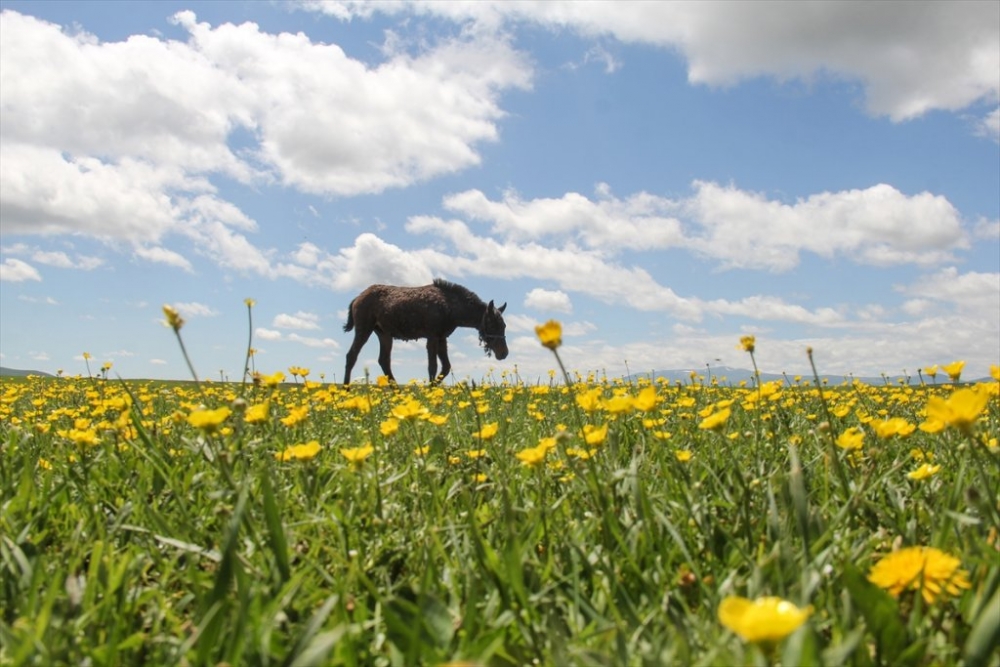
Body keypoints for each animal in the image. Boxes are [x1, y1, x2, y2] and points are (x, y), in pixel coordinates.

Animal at [344, 280, 508, 386]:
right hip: (364, 328)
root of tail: (356, 299)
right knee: (351, 356)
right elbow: (433, 366)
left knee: (384, 360)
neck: (452, 310)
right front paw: (429, 392)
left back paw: (397, 391)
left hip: (384, 333)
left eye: (504, 326)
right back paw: (346, 389)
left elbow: (446, 367)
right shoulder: (432, 336)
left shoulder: (442, 337)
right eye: (492, 325)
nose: (504, 353)